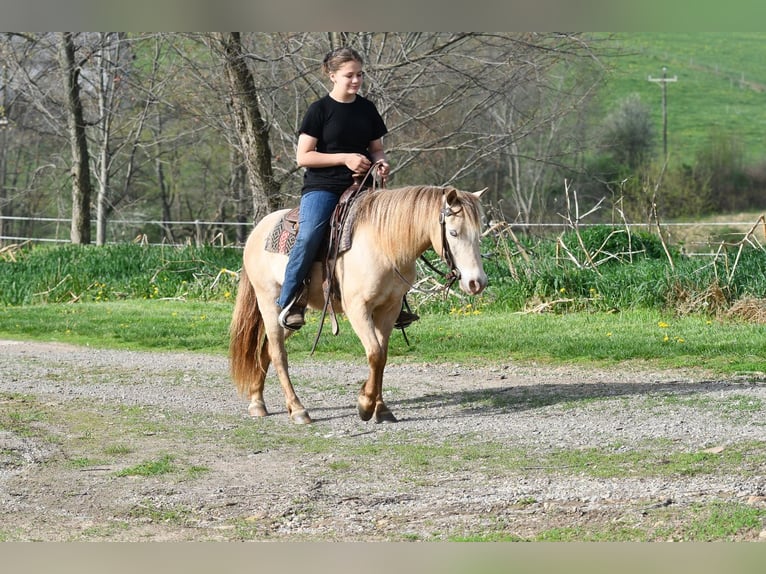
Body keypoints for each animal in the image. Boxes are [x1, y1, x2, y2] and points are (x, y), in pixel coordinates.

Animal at [229, 185, 487, 424]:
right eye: (453, 233)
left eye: (479, 234)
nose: (477, 283)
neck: (384, 243)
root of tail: (257, 231)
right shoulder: (358, 309)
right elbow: (374, 353)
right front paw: (365, 404)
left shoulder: (389, 309)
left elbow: (382, 356)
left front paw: (380, 408)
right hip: (268, 303)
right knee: (278, 353)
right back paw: (298, 409)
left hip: (289, 318)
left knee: (266, 349)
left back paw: (257, 402)